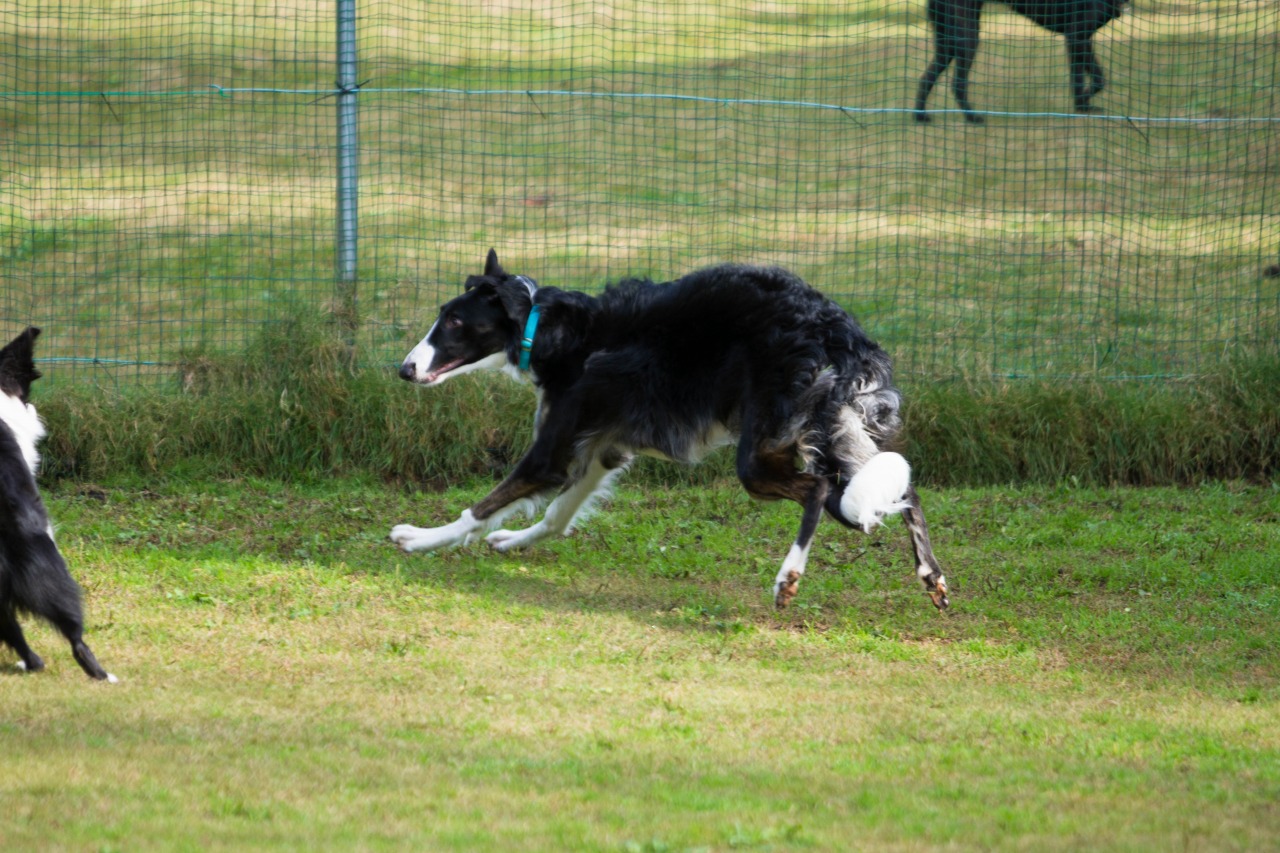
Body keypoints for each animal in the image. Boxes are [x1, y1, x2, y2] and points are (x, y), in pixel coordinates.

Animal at [391, 249, 952, 607]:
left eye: (454, 321)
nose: (404, 369)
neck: (545, 328)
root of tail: (834, 329)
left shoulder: (552, 452)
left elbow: (480, 508)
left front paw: (421, 538)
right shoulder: (603, 450)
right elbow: (556, 516)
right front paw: (513, 542)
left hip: (760, 455)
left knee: (817, 489)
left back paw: (787, 577)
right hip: (841, 434)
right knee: (903, 489)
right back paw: (932, 577)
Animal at [911, 0, 1131, 121]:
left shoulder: (1080, 39)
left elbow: (1088, 79)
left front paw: (1083, 107)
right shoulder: (1076, 36)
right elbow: (1088, 79)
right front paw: (1082, 107)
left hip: (949, 39)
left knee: (926, 77)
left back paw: (920, 116)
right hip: (967, 37)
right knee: (957, 83)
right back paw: (972, 117)